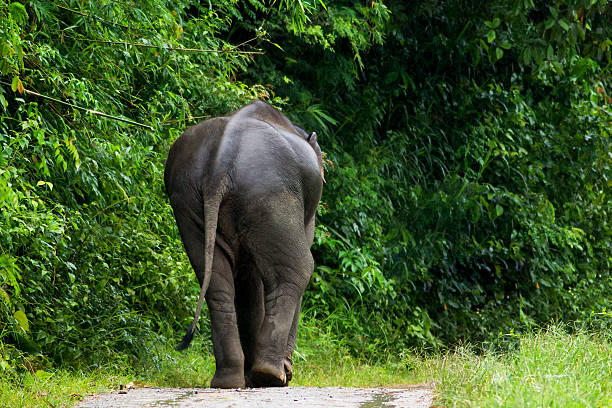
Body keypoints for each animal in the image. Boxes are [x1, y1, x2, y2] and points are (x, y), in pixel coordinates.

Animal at [163, 99, 326, 388]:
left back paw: (230, 381)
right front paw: (282, 373)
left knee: (215, 281)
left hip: (188, 201)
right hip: (270, 194)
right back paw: (270, 375)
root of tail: (218, 163)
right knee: (298, 269)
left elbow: (247, 279)